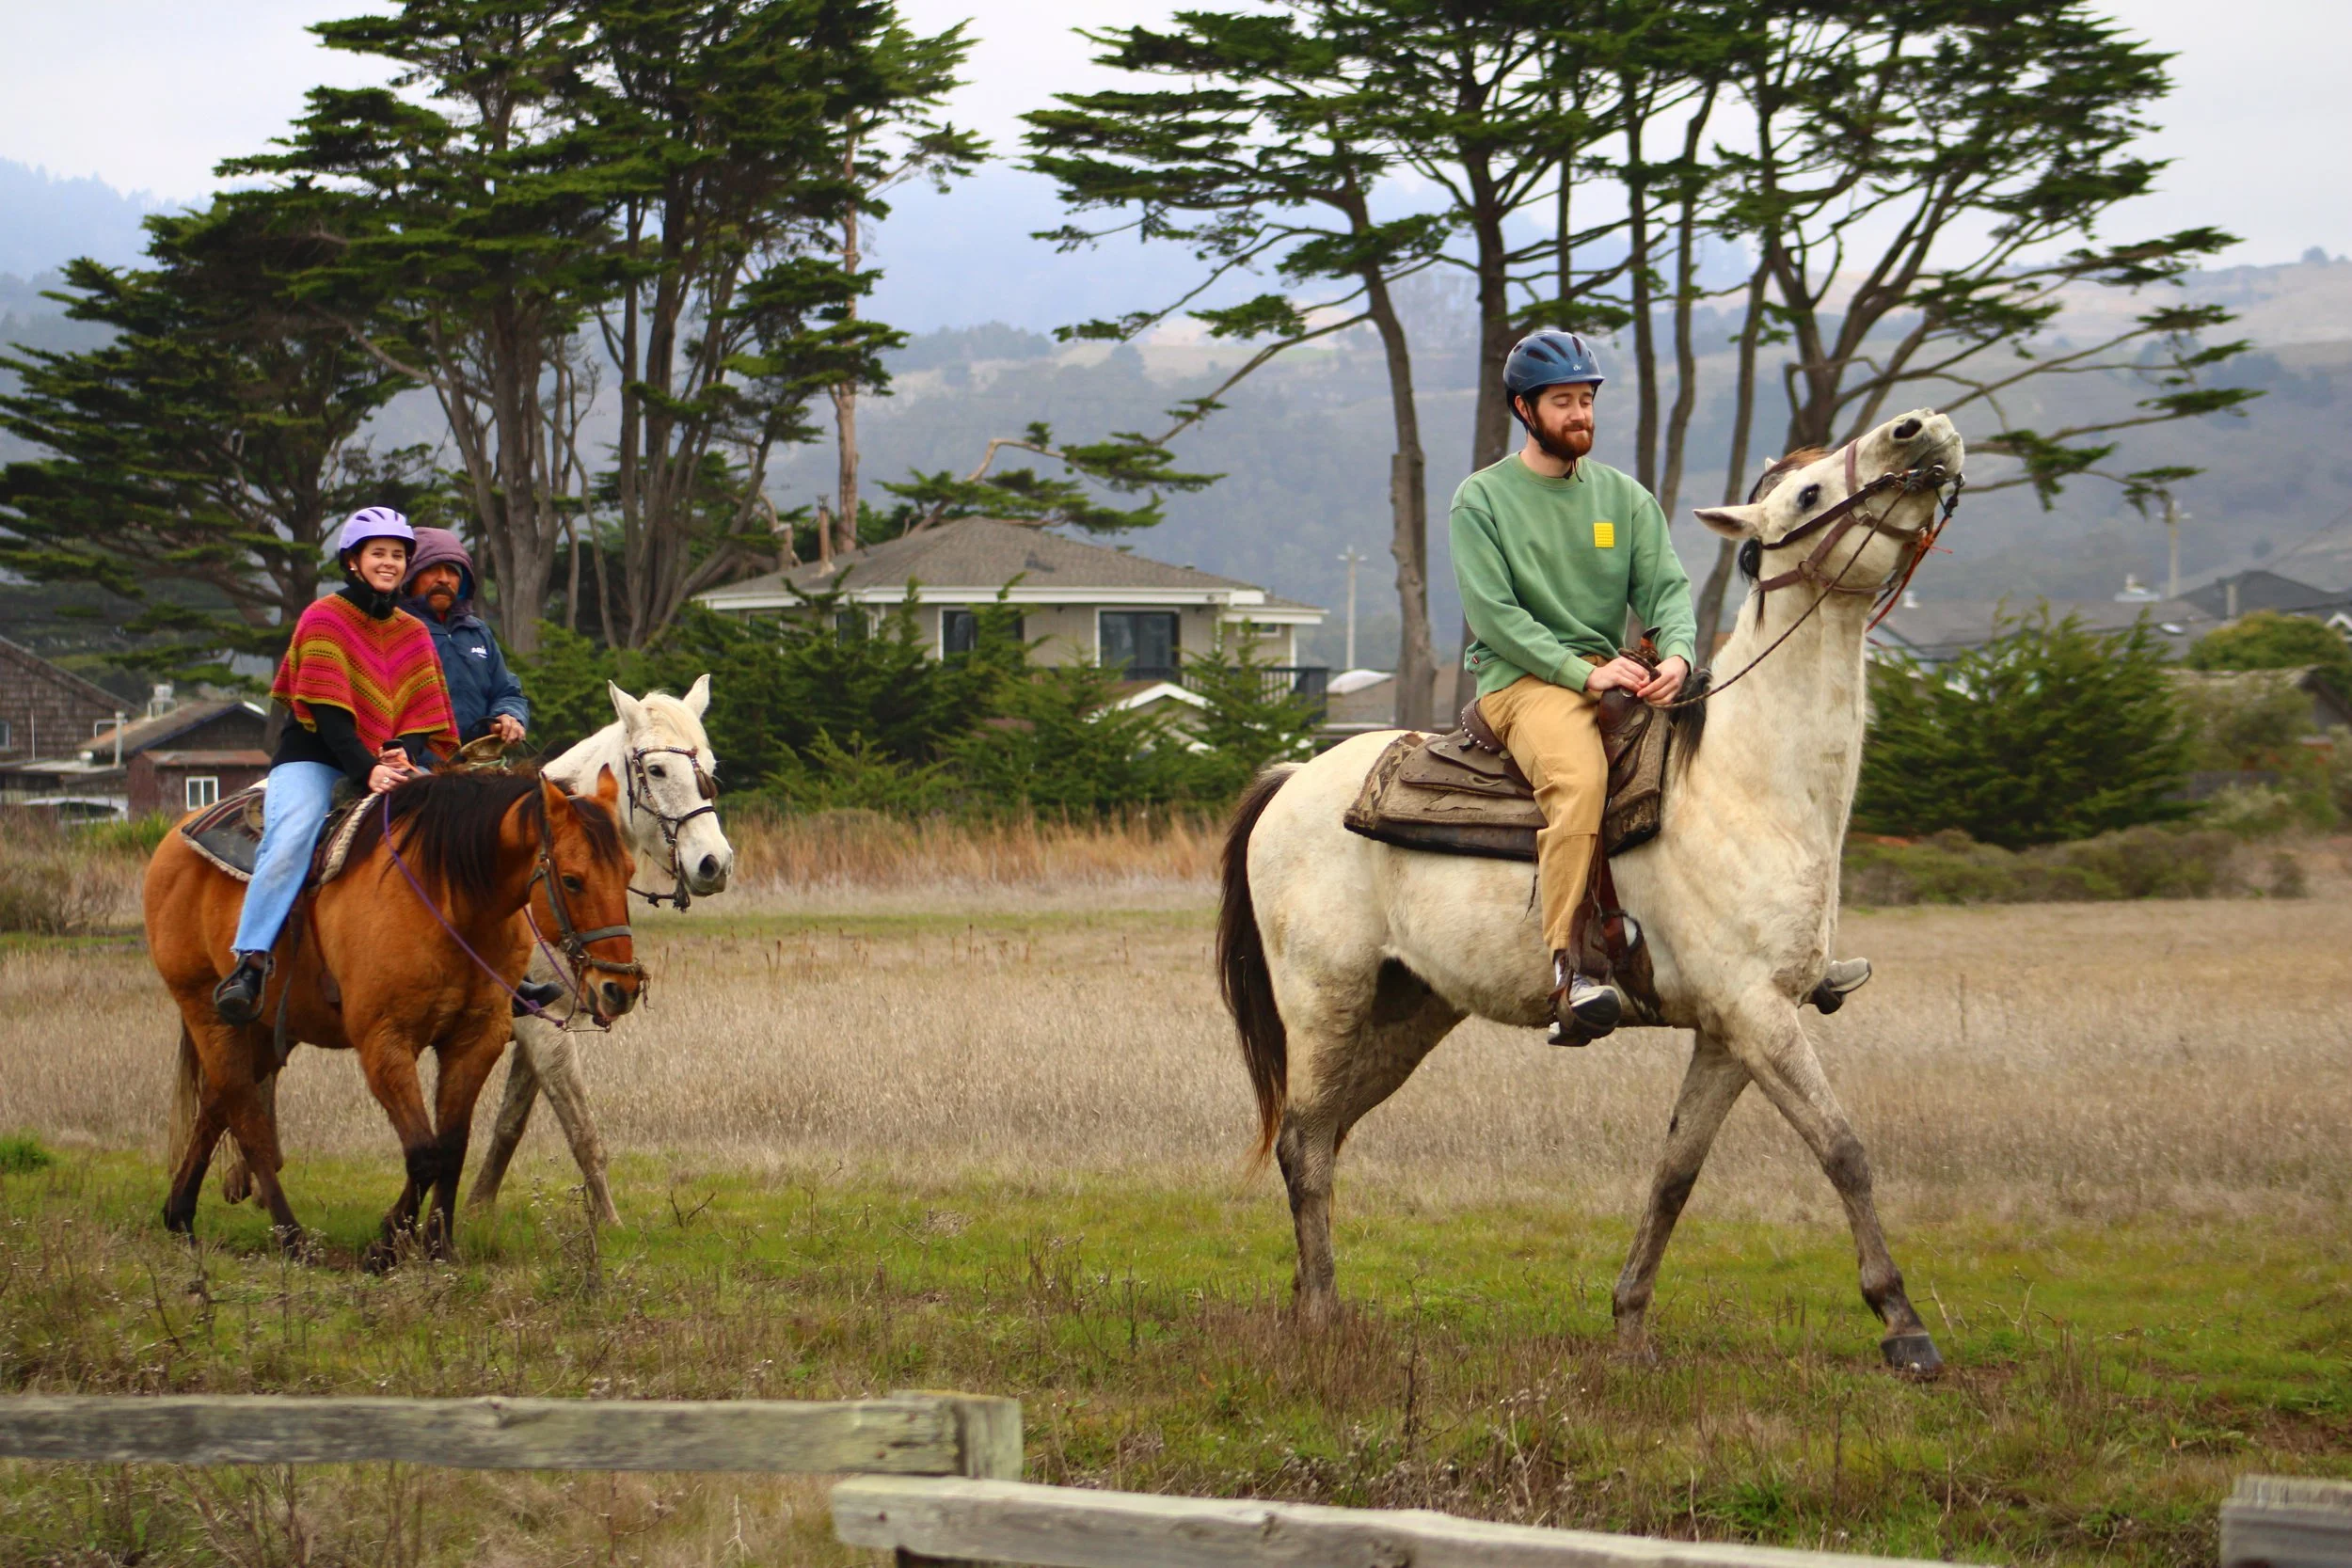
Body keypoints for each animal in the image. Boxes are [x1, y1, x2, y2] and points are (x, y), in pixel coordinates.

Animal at [150, 770, 642, 1267]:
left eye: (628, 873)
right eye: (572, 880)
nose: (620, 988)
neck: (450, 901)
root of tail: (175, 838)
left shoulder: (476, 1040)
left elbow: (452, 1147)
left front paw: (438, 1245)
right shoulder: (384, 1043)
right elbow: (424, 1152)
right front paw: (386, 1245)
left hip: (268, 1030)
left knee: (217, 1103)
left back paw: (180, 1213)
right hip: (207, 1011)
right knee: (244, 1114)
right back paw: (290, 1237)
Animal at [1218, 409, 1963, 1373]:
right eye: (1806, 493)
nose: (1922, 427)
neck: (1745, 782)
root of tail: (1291, 779)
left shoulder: (1729, 1032)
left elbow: (1676, 1172)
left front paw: (1630, 1321)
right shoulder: (1759, 1014)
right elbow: (1844, 1150)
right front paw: (1903, 1325)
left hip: (1406, 1009)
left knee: (1326, 1133)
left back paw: (1313, 1295)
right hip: (1324, 998)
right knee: (1305, 1142)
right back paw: (1318, 1319)